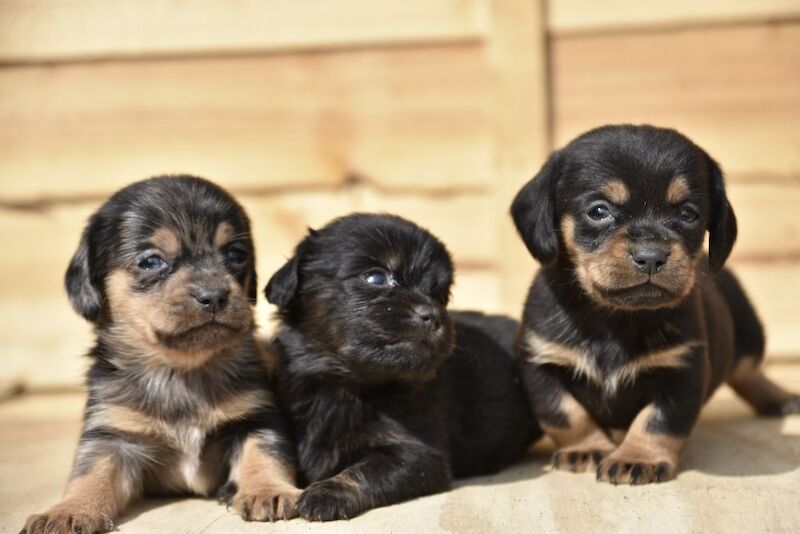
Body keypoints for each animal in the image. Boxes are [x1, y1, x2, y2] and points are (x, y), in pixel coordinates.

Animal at [25, 177, 302, 534]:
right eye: (151, 261)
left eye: (236, 254)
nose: (213, 296)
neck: (180, 371)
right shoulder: (113, 435)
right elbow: (90, 473)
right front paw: (70, 510)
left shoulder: (255, 417)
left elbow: (265, 454)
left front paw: (269, 490)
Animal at [266, 215, 540, 524]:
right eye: (376, 278)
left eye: (440, 294)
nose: (432, 315)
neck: (346, 385)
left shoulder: (417, 455)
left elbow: (365, 471)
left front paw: (328, 493)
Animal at [512, 124, 800, 486]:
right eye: (599, 210)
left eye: (688, 214)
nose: (650, 256)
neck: (616, 319)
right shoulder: (542, 361)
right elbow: (565, 413)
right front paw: (586, 449)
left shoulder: (681, 370)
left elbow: (658, 422)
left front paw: (638, 458)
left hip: (748, 327)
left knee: (748, 368)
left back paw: (780, 398)